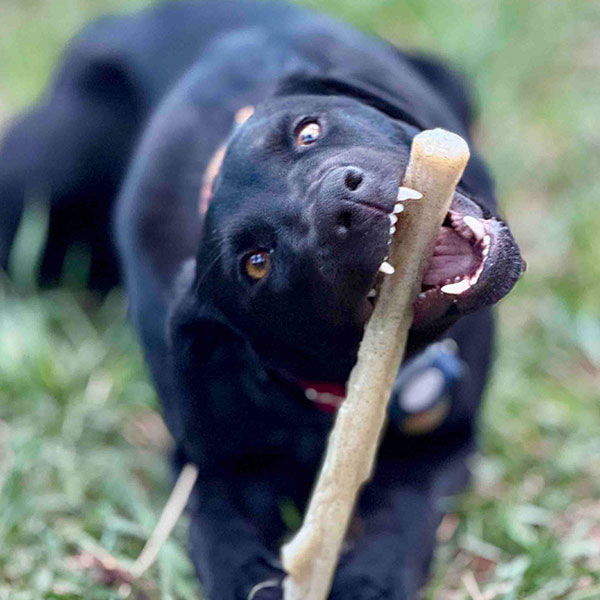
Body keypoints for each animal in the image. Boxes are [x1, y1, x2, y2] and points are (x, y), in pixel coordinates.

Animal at [2, 1, 523, 598]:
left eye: (309, 131)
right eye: (256, 262)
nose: (342, 198)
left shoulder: (443, 446)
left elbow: (401, 519)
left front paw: (366, 579)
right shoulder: (208, 468)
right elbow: (221, 540)